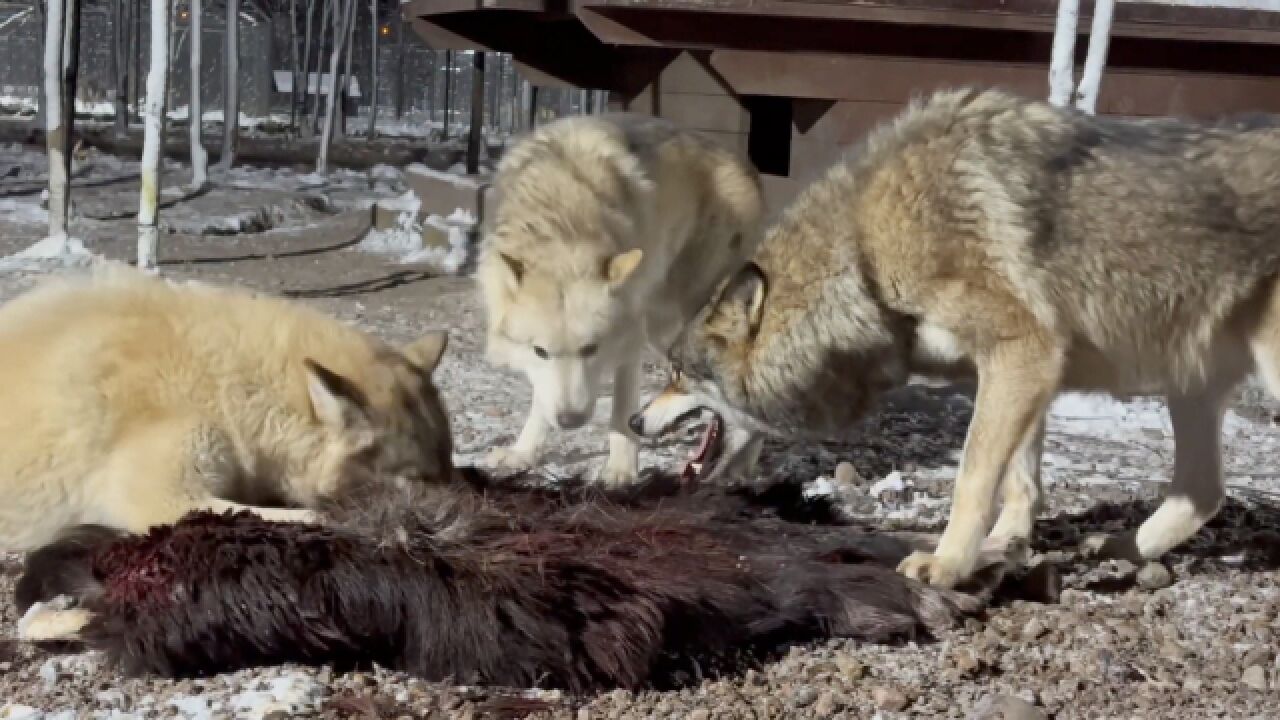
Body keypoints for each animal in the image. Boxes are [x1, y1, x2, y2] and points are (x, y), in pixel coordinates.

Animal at [0, 262, 455, 548]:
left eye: (449, 464)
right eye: (417, 481)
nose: (461, 515)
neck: (225, 383)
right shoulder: (162, 498)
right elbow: (314, 517)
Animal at [634, 83, 1280, 589]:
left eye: (677, 374)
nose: (636, 421)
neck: (863, 255)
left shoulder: (1024, 353)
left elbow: (971, 477)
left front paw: (946, 565)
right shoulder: (1020, 369)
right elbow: (1018, 478)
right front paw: (1007, 544)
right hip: (1189, 385)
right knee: (1203, 492)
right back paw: (1119, 550)